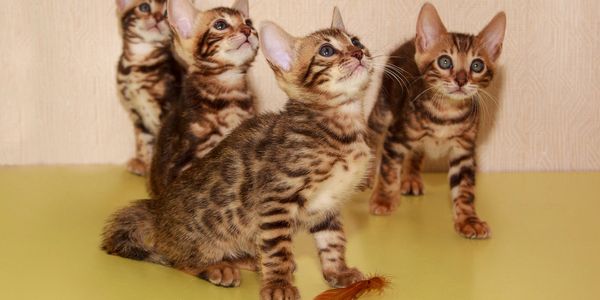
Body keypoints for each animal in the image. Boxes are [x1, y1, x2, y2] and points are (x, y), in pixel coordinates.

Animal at [116, 0, 182, 176]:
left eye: (166, 14)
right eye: (144, 7)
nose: (158, 17)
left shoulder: (168, 106)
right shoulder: (136, 112)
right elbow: (142, 141)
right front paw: (143, 163)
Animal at [368, 2, 504, 239]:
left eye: (477, 66)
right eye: (445, 62)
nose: (461, 80)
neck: (446, 113)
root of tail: (408, 42)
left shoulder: (464, 151)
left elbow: (465, 189)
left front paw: (468, 220)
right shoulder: (396, 136)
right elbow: (388, 170)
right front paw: (384, 199)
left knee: (416, 152)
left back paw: (411, 178)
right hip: (383, 108)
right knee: (372, 133)